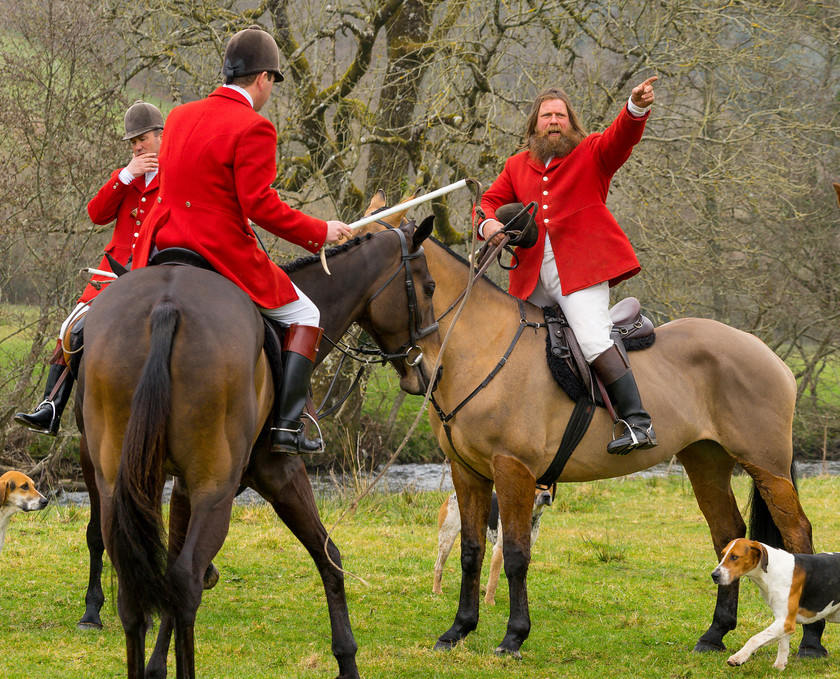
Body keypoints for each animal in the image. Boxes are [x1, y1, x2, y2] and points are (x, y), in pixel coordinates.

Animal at [77, 219, 440, 679]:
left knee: (135, 587)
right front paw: (347, 660)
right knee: (186, 580)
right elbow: (330, 557)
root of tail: (166, 306)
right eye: (429, 286)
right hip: (214, 488)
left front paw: (156, 666)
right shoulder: (277, 472)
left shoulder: (180, 486)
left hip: (119, 484)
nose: (427, 370)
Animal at [358, 194, 824, 660]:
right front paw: (458, 630)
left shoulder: (513, 470)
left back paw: (811, 641)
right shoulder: (467, 471)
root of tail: (765, 351)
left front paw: (513, 636)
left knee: (798, 534)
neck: (479, 344)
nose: (412, 370)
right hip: (706, 461)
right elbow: (470, 551)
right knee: (727, 535)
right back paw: (714, 633)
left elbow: (515, 555)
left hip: (766, 465)